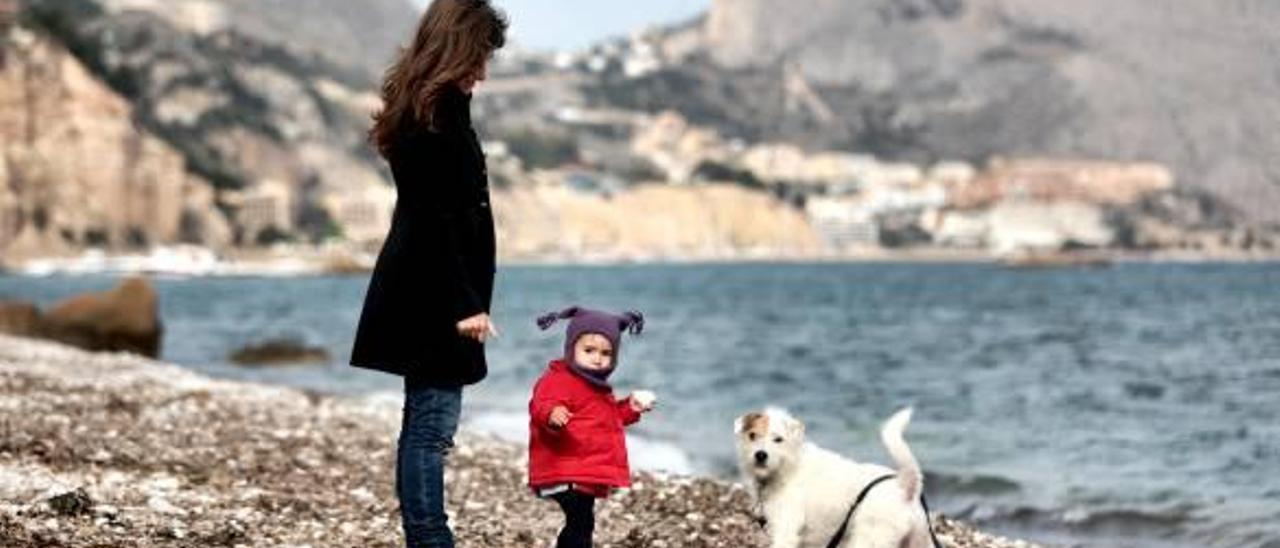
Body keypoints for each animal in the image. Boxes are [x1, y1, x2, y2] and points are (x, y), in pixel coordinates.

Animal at [737, 407, 936, 548]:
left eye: (778, 439)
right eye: (752, 435)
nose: (760, 455)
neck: (789, 466)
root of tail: (904, 486)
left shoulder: (786, 531)